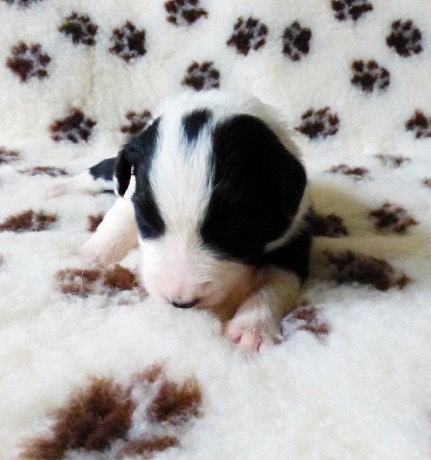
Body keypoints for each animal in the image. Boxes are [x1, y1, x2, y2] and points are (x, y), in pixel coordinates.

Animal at [52, 91, 312, 351]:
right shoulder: (133, 191)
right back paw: (57, 189)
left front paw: (251, 329)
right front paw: (92, 256)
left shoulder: (295, 231)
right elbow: (118, 220)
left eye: (235, 233)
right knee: (99, 172)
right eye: (149, 222)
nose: (180, 302)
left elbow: (274, 283)